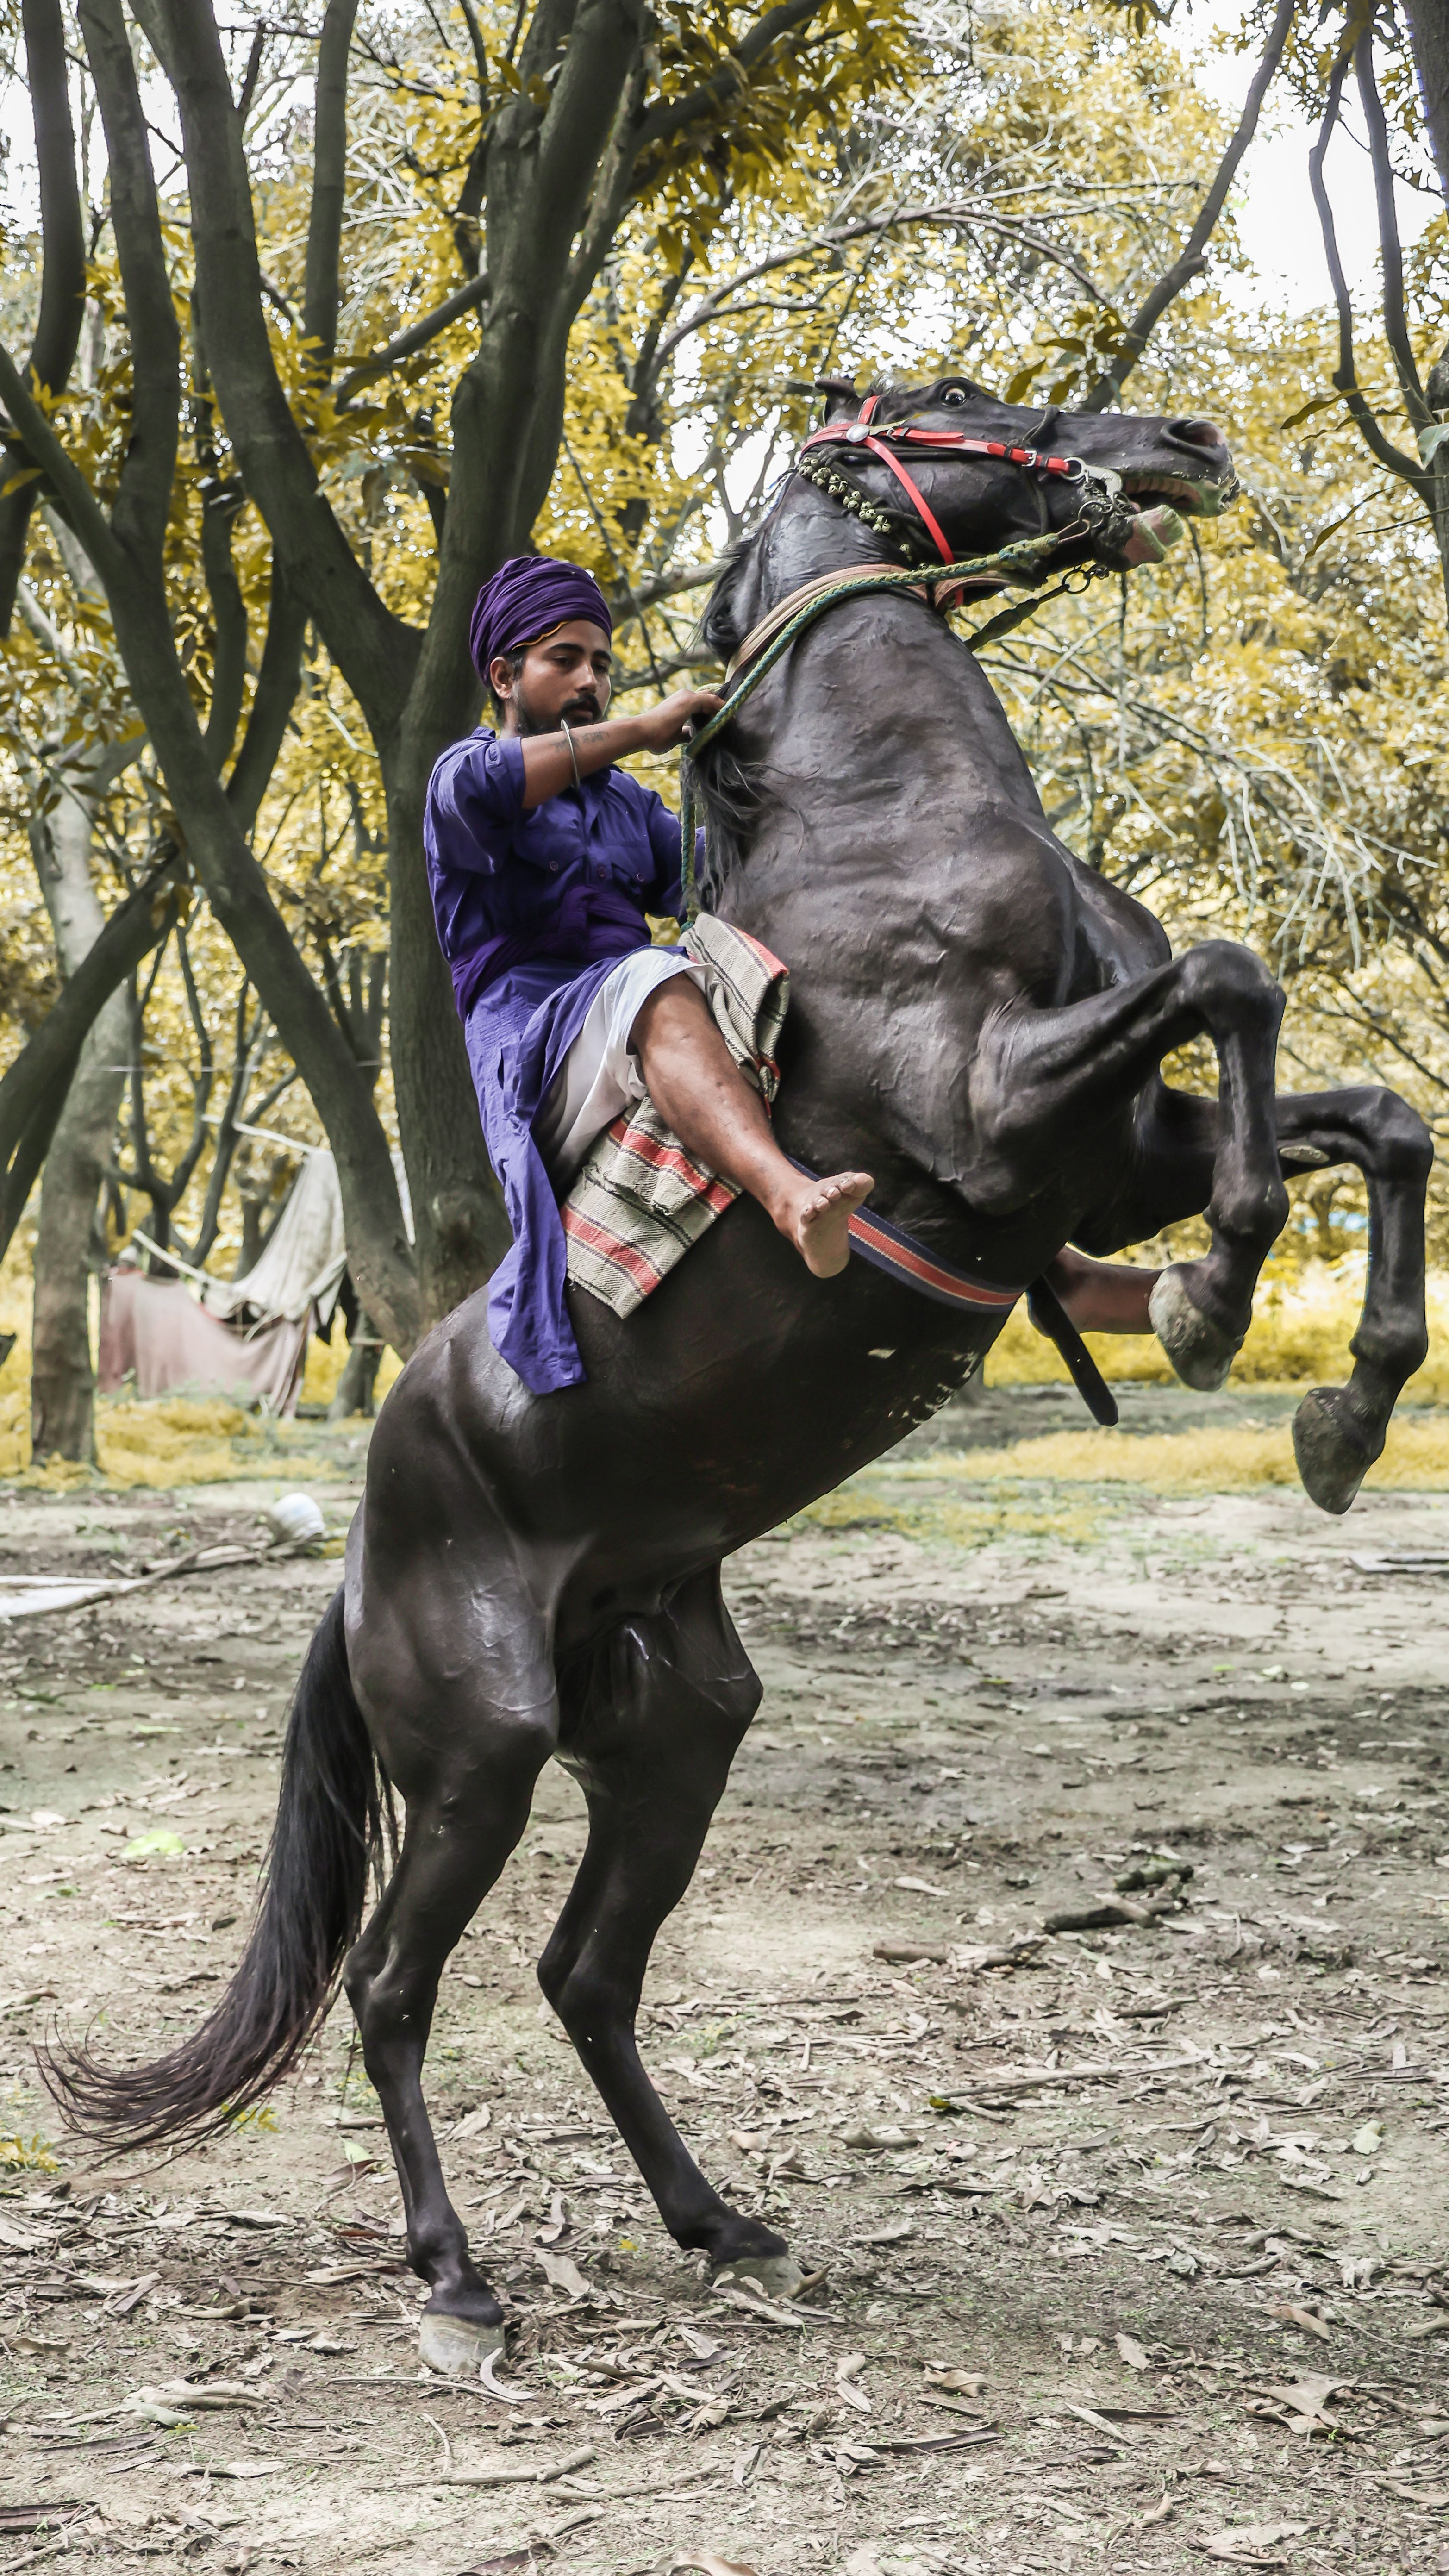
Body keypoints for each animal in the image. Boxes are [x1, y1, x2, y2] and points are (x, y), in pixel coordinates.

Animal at [48, 371, 1431, 2374]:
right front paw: (1222, 1294)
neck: (891, 820)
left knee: (585, 1975)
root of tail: (365, 1545)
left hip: (675, 1732)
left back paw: (712, 2216)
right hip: (478, 1755)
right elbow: (1240, 986)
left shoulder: (1104, 1157)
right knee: (394, 1985)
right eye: (956, 400)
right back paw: (454, 2273)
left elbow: (1368, 1111)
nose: (1178, 445)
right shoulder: (1001, 1117)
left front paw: (1325, 1393)